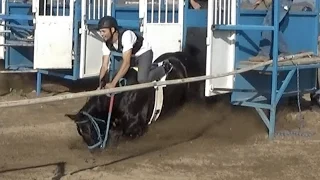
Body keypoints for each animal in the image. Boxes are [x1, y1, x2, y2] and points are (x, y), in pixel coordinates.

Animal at [65, 51, 199, 149]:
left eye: (90, 128)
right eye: (80, 131)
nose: (93, 149)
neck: (121, 95)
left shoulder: (136, 126)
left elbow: (119, 132)